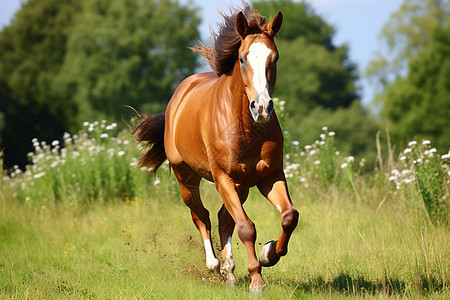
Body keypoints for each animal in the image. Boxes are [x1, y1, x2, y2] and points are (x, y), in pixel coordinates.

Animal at [133, 2, 298, 292]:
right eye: (242, 58)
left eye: (275, 58)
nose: (262, 108)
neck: (245, 127)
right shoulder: (223, 177)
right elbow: (246, 227)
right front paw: (256, 281)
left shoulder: (269, 175)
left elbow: (289, 216)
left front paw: (268, 253)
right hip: (186, 179)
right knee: (202, 216)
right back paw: (214, 266)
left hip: (241, 185)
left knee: (223, 218)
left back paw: (229, 270)